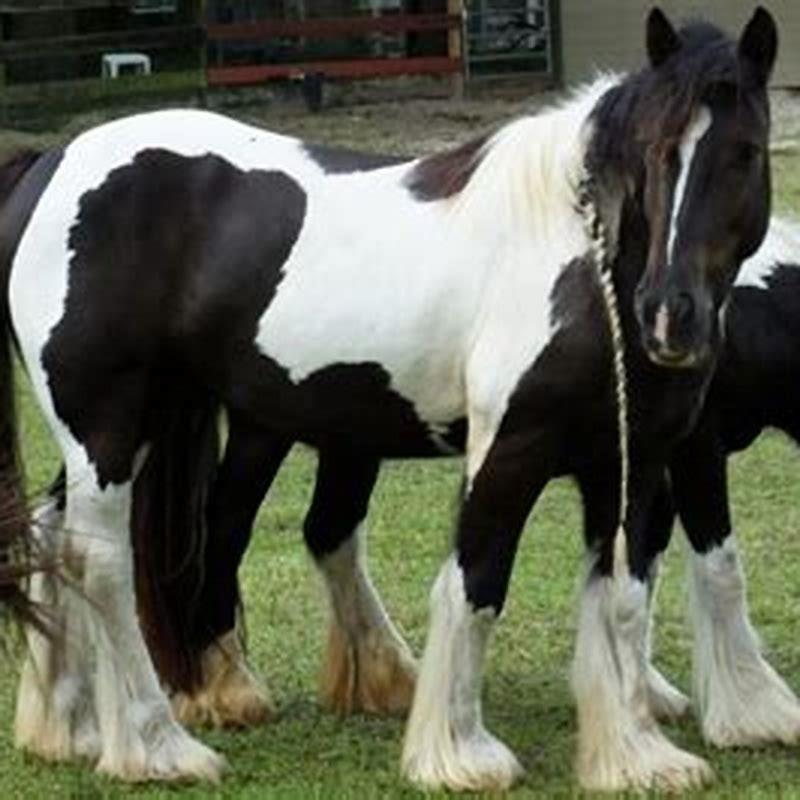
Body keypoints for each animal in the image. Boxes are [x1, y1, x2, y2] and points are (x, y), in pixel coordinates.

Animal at [0, 6, 776, 792]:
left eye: (745, 153)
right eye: (654, 153)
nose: (669, 316)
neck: (577, 261)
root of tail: (50, 164)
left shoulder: (631, 464)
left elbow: (622, 595)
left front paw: (635, 756)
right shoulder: (511, 451)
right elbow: (477, 583)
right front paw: (459, 753)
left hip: (145, 422)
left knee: (52, 536)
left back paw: (67, 729)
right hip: (106, 427)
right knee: (98, 561)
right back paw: (156, 748)